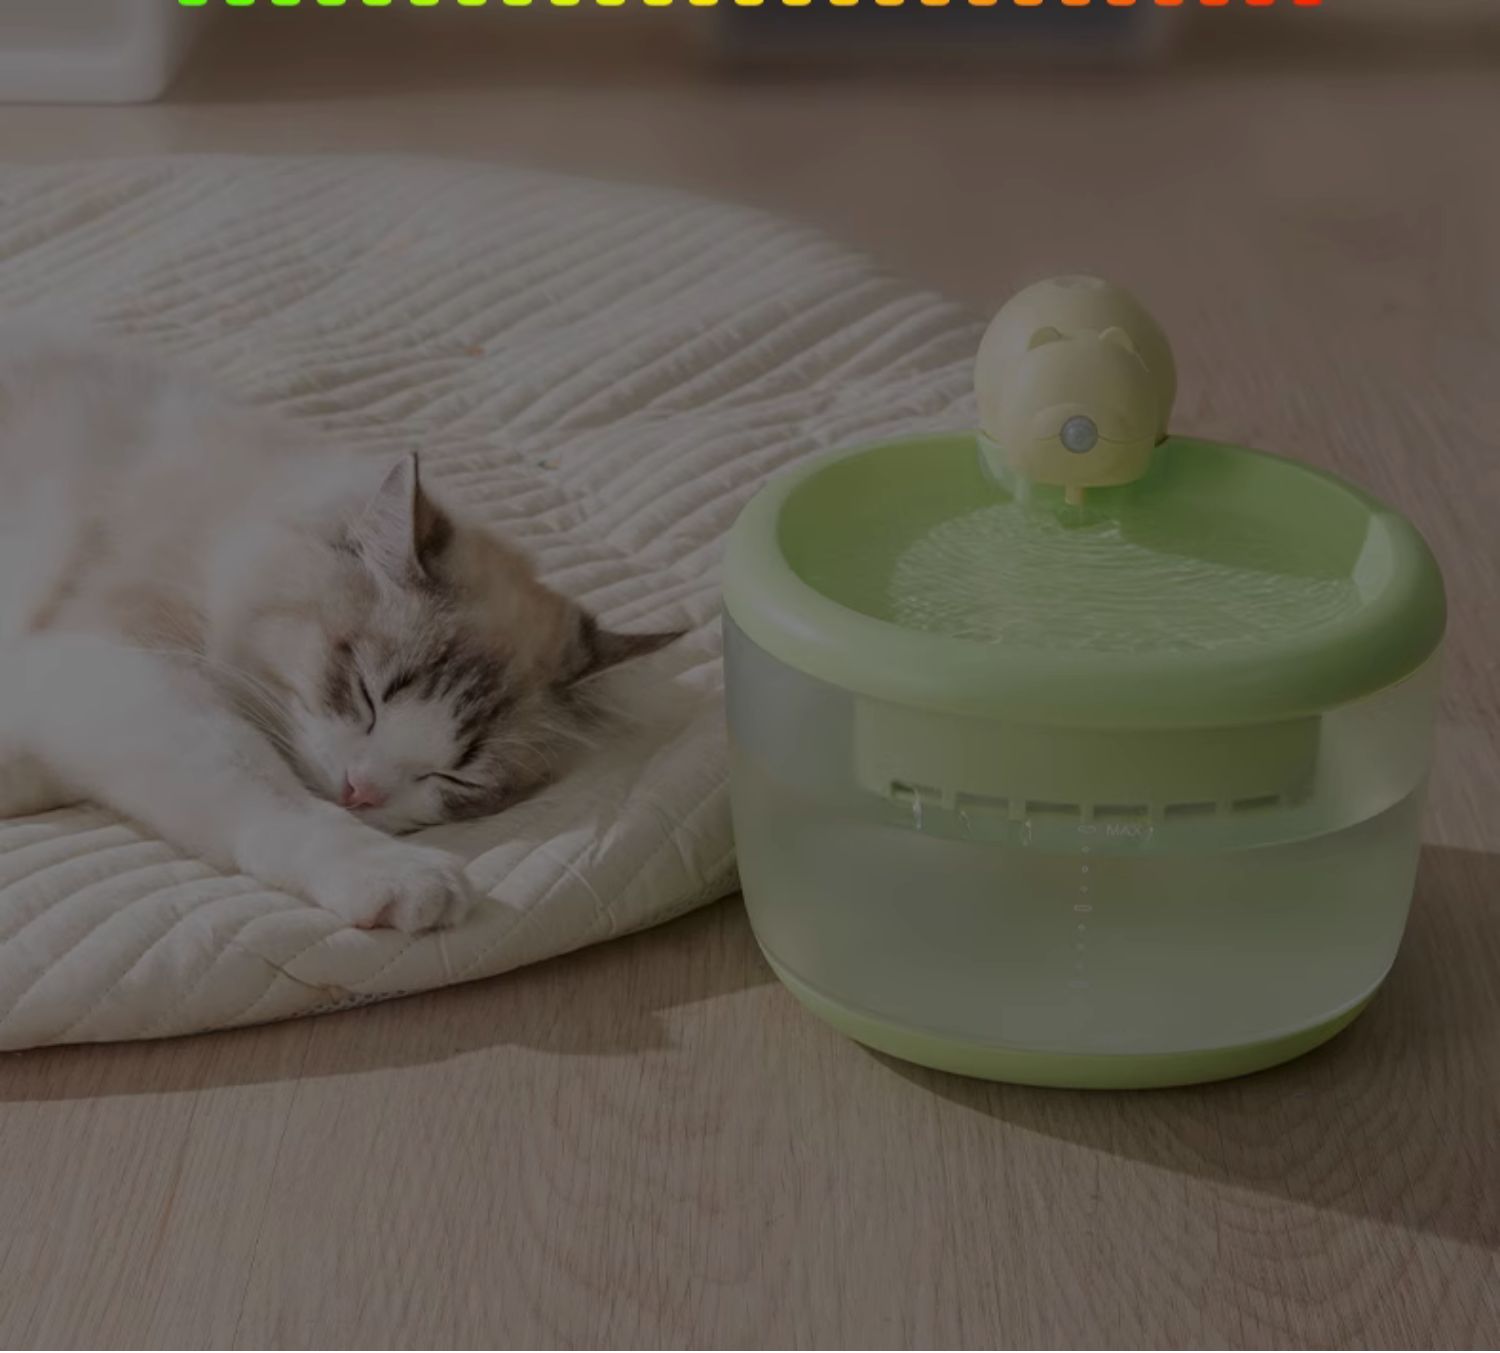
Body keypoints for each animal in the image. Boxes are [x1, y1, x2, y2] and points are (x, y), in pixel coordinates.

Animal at [0, 332, 680, 932]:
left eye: (458, 777)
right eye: (364, 695)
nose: (361, 793)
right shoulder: (125, 661)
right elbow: (263, 786)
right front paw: (396, 876)